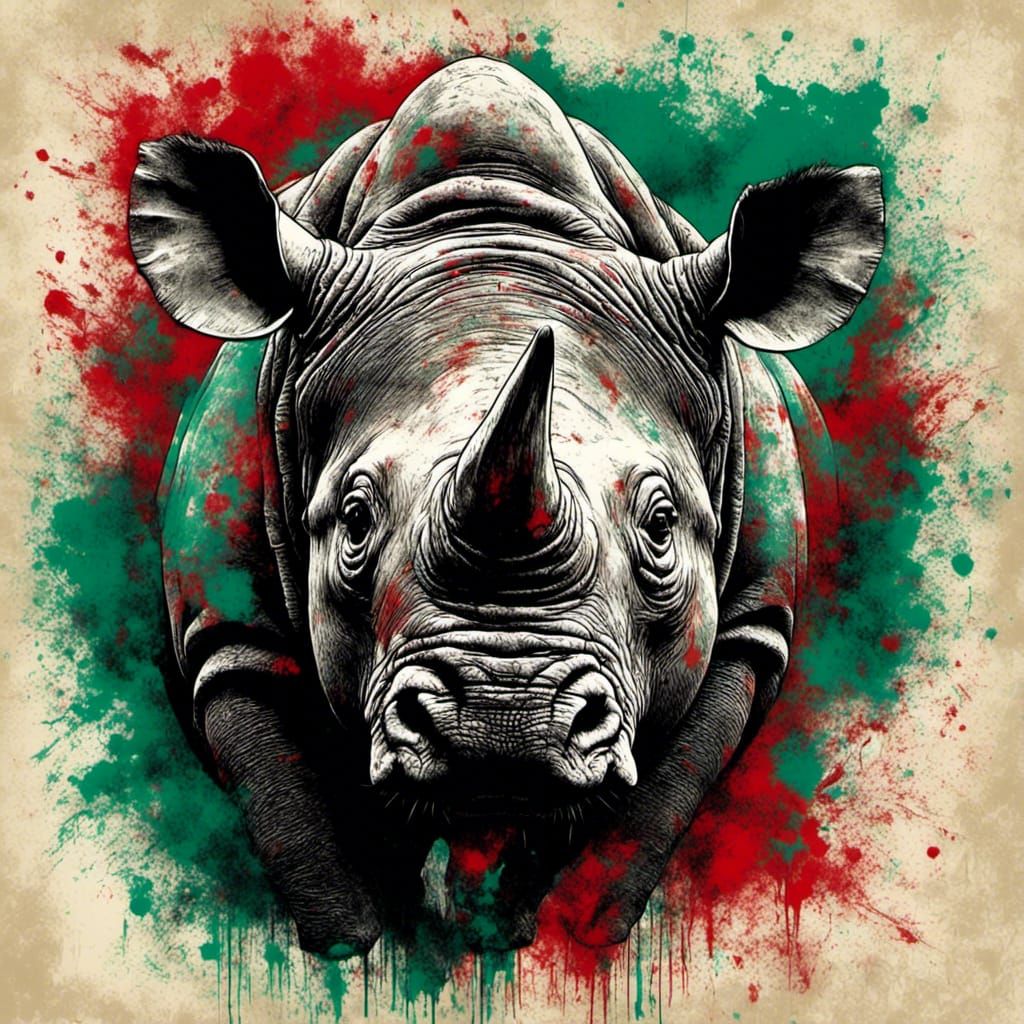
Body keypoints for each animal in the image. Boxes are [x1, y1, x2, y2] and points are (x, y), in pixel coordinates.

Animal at [130, 57, 883, 955]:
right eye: (354, 521)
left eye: (663, 526)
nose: (504, 725)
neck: (488, 219)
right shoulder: (232, 636)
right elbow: (309, 844)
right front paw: (354, 954)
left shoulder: (748, 625)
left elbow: (634, 836)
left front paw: (570, 945)